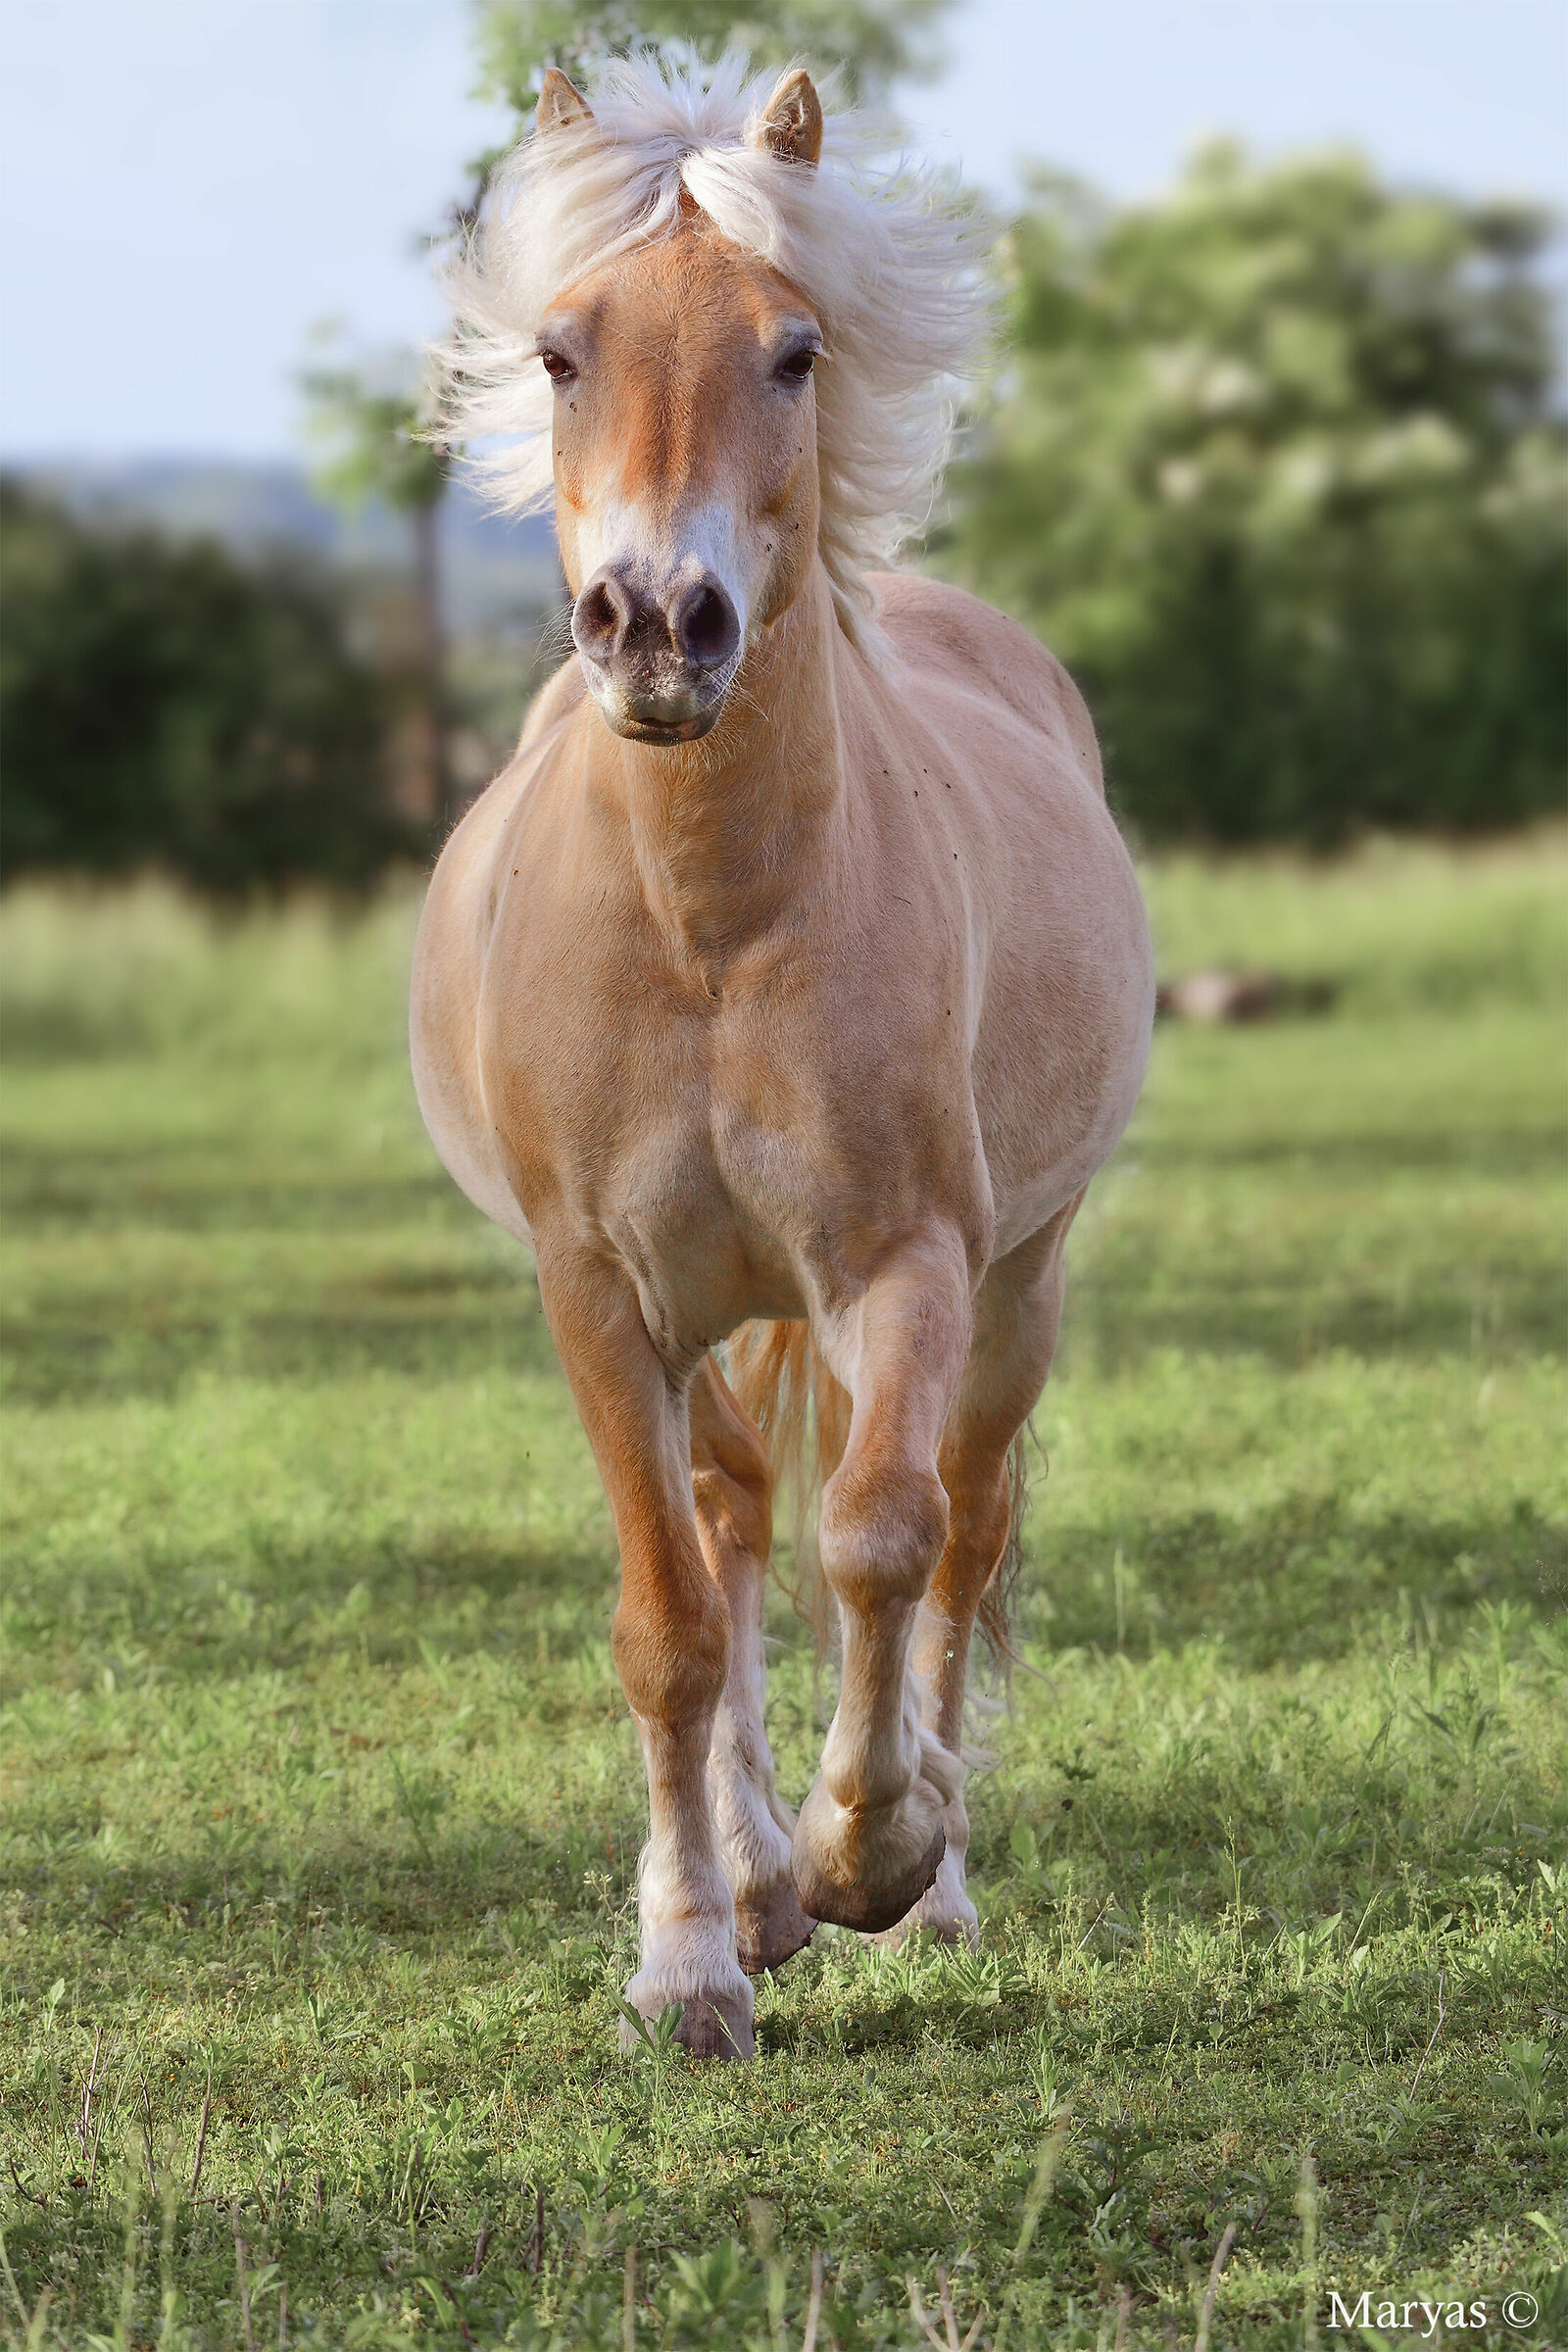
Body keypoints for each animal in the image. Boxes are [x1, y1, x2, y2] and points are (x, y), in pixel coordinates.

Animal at [411, 55, 1154, 2059]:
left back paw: (915, 1881)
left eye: (796, 350)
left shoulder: (907, 1264)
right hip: (704, 1315)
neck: (711, 923)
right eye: (562, 351)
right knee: (735, 1516)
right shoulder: (599, 1294)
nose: (663, 628)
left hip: (1022, 1283)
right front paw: (692, 1960)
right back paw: (743, 1880)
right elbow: (669, 1620)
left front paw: (866, 1857)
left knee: (956, 1530)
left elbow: (885, 1536)